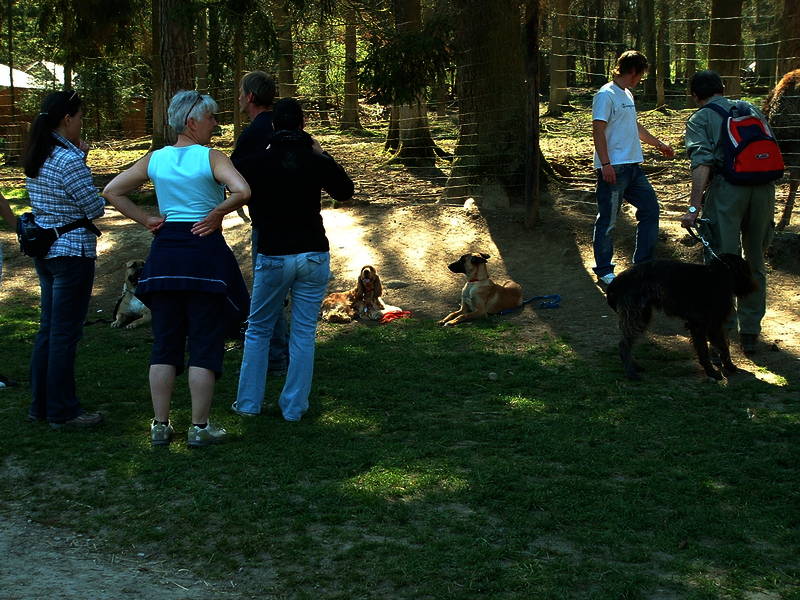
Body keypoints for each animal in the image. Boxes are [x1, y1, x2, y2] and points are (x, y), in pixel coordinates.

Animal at [606, 254, 757, 380]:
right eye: (747, 270)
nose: (754, 287)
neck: (718, 274)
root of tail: (616, 282)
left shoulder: (711, 325)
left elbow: (721, 346)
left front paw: (728, 366)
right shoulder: (703, 325)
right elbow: (707, 350)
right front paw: (712, 371)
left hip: (642, 316)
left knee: (627, 344)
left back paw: (635, 366)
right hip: (636, 317)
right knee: (624, 345)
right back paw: (631, 373)